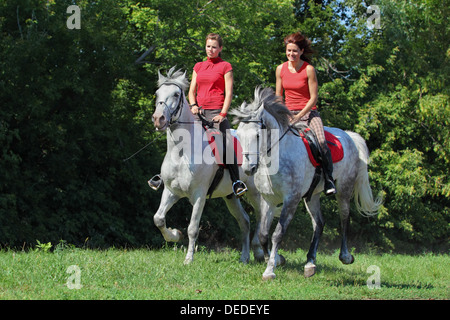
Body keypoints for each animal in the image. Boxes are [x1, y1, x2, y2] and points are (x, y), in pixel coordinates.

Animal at [151, 67, 266, 264]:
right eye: (157, 94)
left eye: (176, 94)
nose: (159, 119)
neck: (181, 152)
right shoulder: (171, 191)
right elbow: (158, 218)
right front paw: (175, 235)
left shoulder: (199, 195)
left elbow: (193, 228)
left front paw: (188, 259)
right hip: (231, 196)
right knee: (244, 221)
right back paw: (244, 257)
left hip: (253, 191)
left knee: (261, 216)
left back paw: (259, 251)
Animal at [232, 87, 384, 280]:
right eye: (239, 134)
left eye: (258, 135)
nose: (248, 168)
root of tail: (348, 136)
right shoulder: (269, 200)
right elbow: (264, 234)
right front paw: (275, 260)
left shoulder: (291, 199)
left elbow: (277, 234)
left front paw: (269, 270)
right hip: (312, 195)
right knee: (319, 223)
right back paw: (310, 262)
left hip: (344, 188)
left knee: (344, 218)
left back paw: (345, 256)